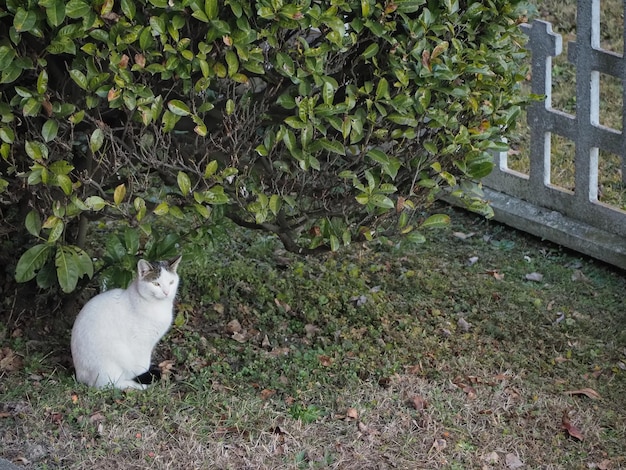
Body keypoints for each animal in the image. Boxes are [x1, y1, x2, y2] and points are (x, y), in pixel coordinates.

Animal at [72, 255, 183, 392]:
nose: (166, 292)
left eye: (171, 282)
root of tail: (80, 376)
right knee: (108, 385)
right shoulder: (141, 343)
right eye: (156, 284)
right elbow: (142, 364)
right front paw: (144, 374)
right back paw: (139, 385)